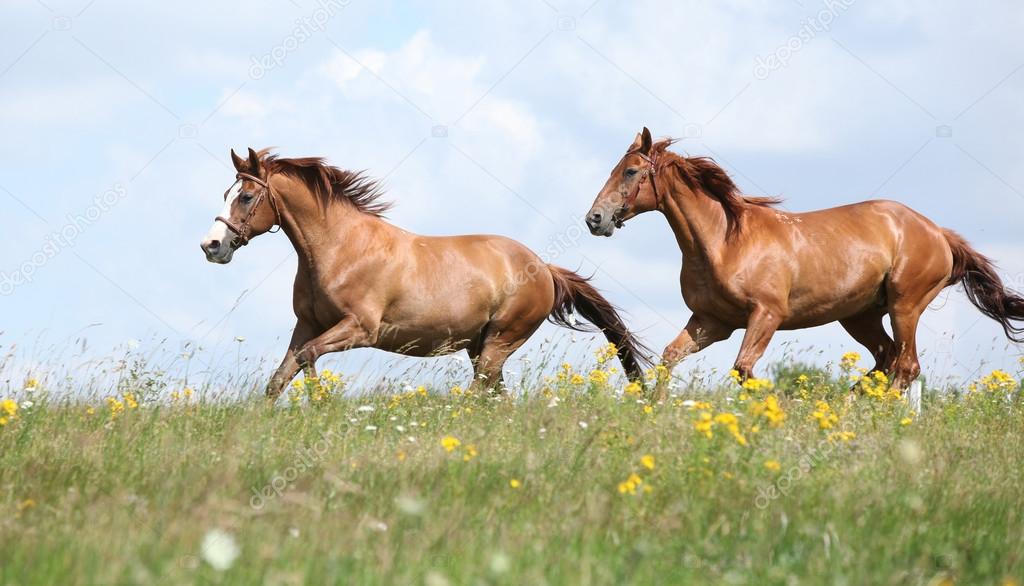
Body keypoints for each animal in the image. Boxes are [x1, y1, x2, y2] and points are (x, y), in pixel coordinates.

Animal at [202, 147, 643, 397]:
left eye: (245, 196)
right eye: (225, 193)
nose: (212, 246)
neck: (341, 249)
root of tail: (545, 268)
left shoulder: (359, 329)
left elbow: (309, 358)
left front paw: (322, 406)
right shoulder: (307, 325)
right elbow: (280, 378)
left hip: (499, 342)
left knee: (480, 394)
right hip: (480, 347)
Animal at [585, 128, 1024, 393]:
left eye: (630, 171)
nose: (594, 219)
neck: (725, 242)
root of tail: (939, 233)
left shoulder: (766, 315)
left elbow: (743, 370)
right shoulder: (712, 322)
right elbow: (669, 358)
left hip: (905, 306)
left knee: (906, 366)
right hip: (860, 316)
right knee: (885, 359)